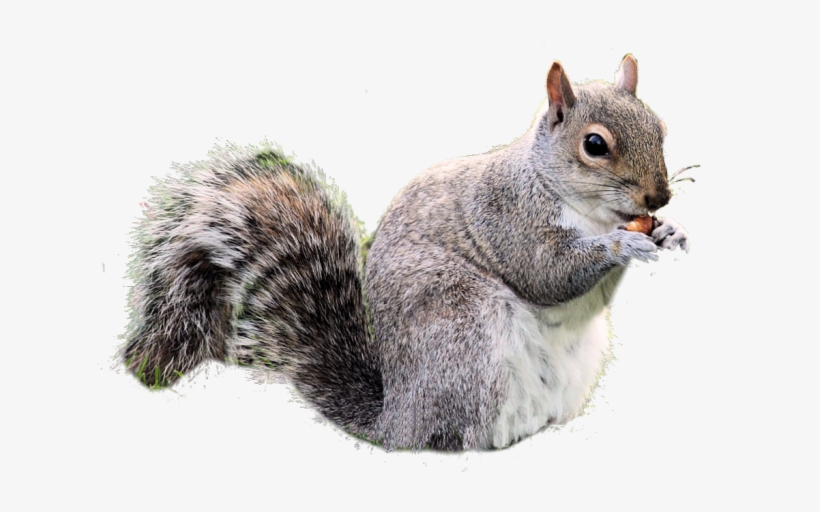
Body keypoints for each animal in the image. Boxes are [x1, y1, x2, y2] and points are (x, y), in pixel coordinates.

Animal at [121, 54, 690, 451]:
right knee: (453, 437)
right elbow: (546, 274)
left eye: (661, 129)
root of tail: (395, 421)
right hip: (465, 333)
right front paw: (624, 242)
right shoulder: (507, 218)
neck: (589, 210)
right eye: (594, 145)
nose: (658, 198)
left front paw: (669, 232)